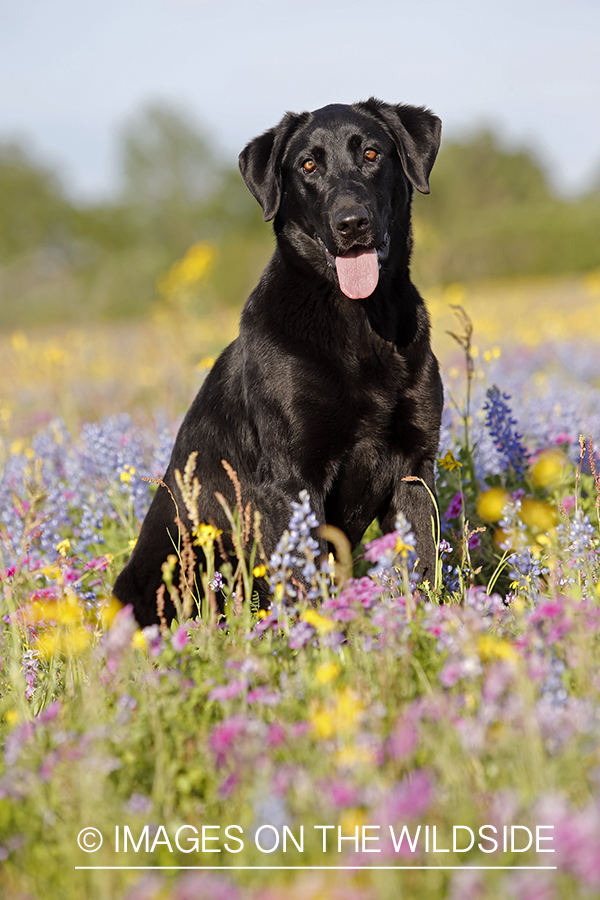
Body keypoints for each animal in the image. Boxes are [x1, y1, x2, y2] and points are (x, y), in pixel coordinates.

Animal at [112, 95, 442, 624]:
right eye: (308, 165)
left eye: (372, 154)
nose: (351, 223)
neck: (359, 321)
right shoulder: (292, 477)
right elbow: (306, 584)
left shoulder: (415, 464)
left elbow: (424, 565)